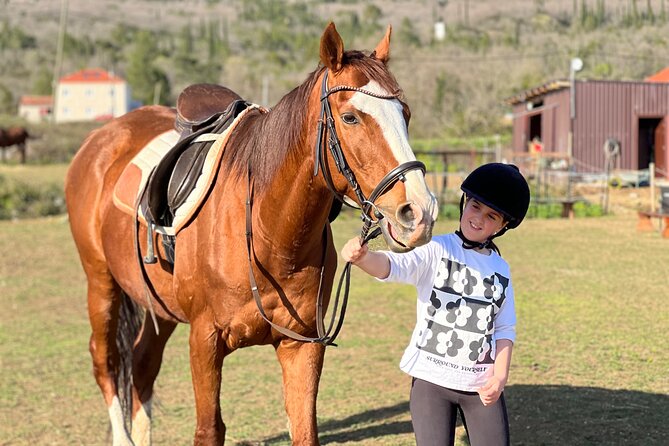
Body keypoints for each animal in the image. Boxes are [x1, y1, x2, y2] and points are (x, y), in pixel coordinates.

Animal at [65, 22, 438, 446]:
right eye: (350, 118)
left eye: (405, 114)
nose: (419, 213)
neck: (270, 233)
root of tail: (100, 140)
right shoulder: (204, 340)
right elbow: (209, 430)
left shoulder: (301, 344)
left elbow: (304, 429)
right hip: (101, 281)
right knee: (105, 360)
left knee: (142, 364)